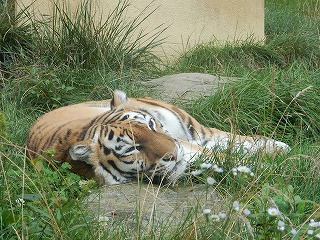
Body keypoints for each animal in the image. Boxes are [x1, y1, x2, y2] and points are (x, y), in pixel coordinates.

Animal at [26, 90, 292, 186]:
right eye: (131, 149)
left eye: (151, 125)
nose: (173, 154)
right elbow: (223, 157)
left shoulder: (187, 142)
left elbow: (230, 150)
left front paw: (280, 159)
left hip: (192, 128)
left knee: (229, 138)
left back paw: (279, 146)